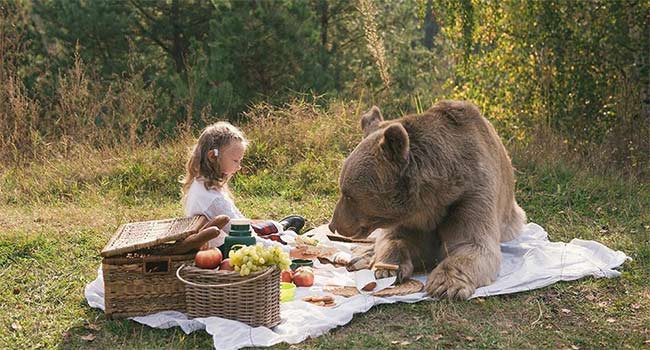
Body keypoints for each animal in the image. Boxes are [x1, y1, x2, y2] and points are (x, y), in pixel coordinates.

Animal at [330, 100, 528, 300]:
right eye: (343, 189)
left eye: (348, 195)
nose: (333, 225)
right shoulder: (410, 218)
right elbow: (395, 239)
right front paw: (387, 268)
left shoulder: (471, 194)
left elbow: (472, 244)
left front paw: (445, 285)